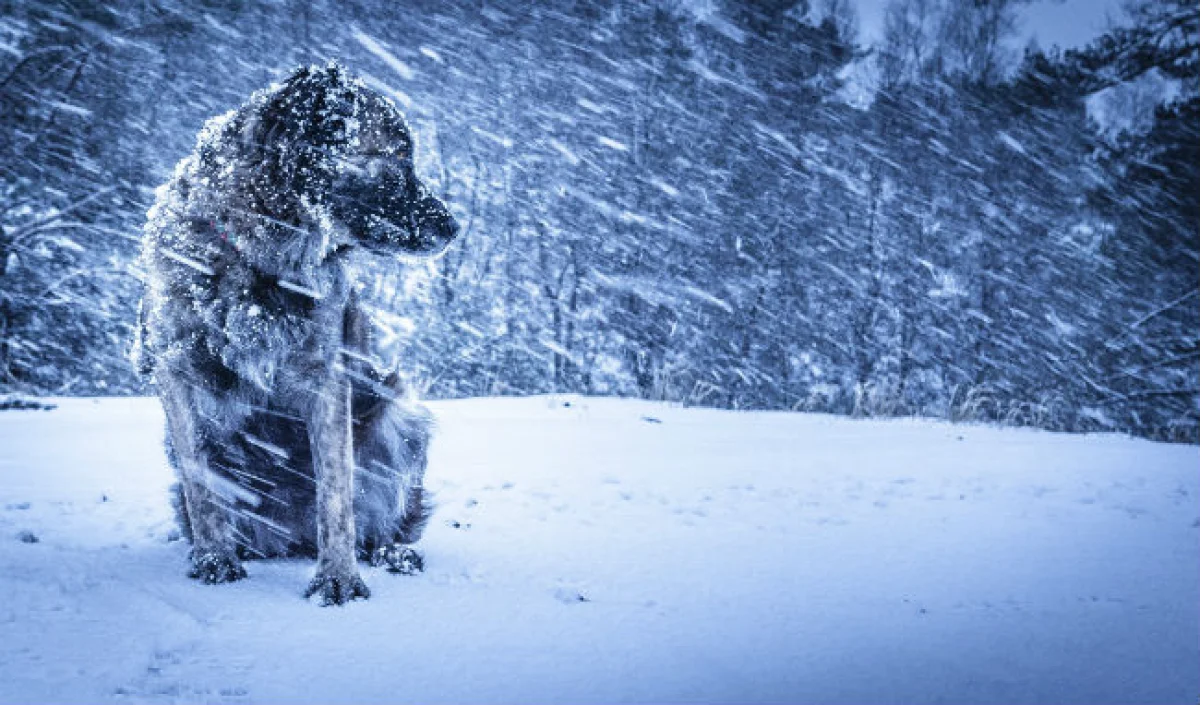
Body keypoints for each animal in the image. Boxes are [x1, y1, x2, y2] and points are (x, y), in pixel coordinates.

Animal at [135, 63, 458, 606]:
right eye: (396, 157)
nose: (454, 227)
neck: (251, 255)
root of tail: (292, 538)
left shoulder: (325, 378)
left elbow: (336, 493)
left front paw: (338, 578)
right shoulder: (178, 370)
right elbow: (202, 483)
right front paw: (213, 559)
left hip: (399, 415)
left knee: (381, 519)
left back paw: (391, 552)